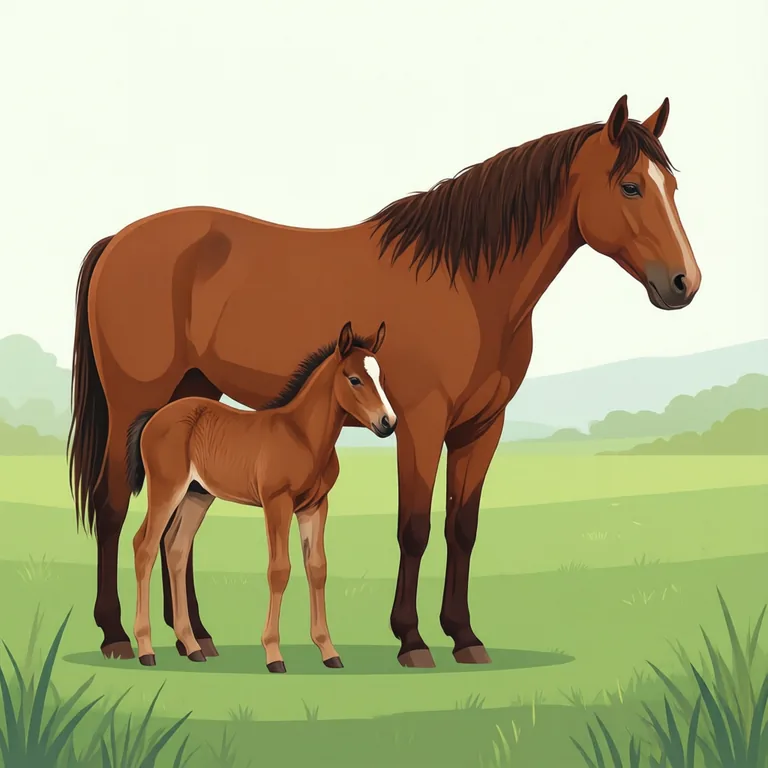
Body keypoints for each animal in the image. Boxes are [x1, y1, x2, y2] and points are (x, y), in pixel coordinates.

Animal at [125, 321, 394, 671]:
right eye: (355, 379)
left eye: (382, 377)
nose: (388, 423)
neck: (302, 436)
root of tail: (156, 415)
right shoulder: (276, 502)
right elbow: (279, 570)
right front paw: (273, 654)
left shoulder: (315, 506)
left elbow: (317, 568)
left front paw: (329, 651)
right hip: (166, 487)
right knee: (144, 546)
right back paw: (146, 649)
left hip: (198, 495)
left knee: (176, 548)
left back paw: (193, 646)